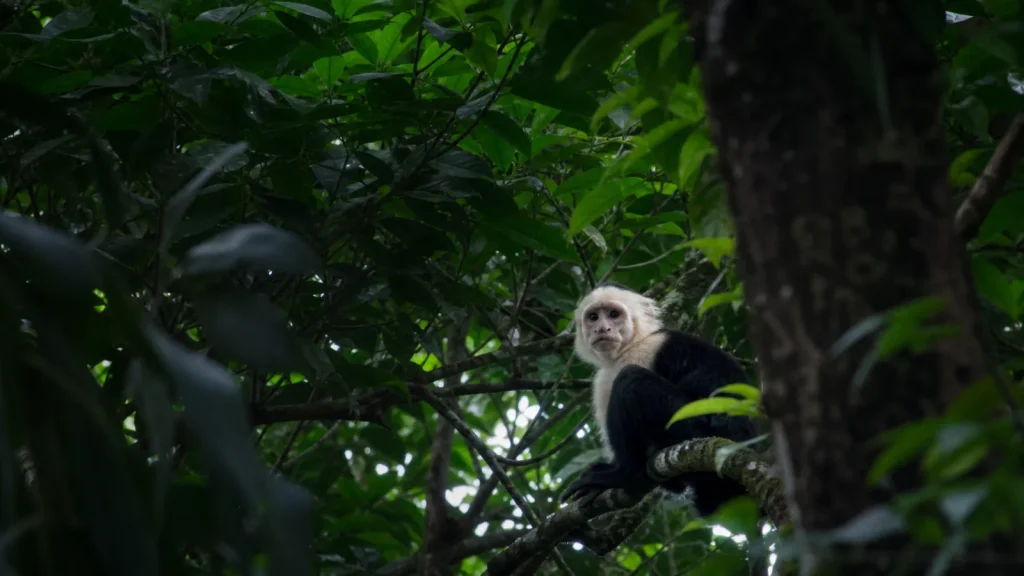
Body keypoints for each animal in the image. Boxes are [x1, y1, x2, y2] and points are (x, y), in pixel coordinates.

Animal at [560, 282, 759, 517]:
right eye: (593, 317)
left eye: (613, 314)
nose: (602, 329)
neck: (634, 342)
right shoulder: (603, 379)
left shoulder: (643, 352)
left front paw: (619, 474)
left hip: (699, 432)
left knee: (631, 379)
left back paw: (626, 475)